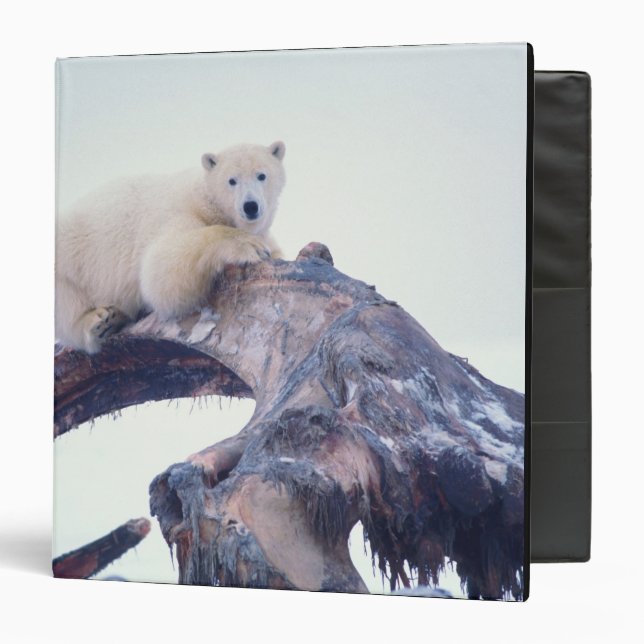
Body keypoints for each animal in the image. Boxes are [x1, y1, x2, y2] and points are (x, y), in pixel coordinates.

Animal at [55, 141, 286, 353]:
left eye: (261, 175)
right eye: (232, 180)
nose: (250, 206)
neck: (205, 199)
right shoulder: (177, 214)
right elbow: (161, 270)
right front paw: (248, 245)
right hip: (69, 263)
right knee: (68, 309)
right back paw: (101, 321)